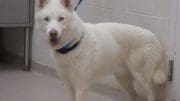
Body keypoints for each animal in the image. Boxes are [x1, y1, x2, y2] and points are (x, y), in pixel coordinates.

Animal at [35, 0, 167, 101]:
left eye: (61, 19)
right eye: (46, 19)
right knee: (133, 95)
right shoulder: (70, 86)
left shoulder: (81, 87)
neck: (73, 44)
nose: (53, 33)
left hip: (141, 78)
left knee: (151, 96)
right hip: (122, 78)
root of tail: (153, 36)